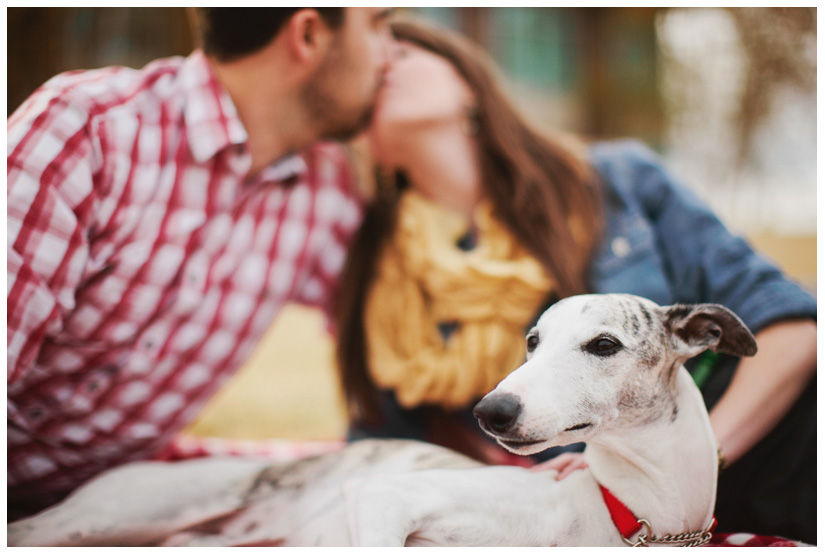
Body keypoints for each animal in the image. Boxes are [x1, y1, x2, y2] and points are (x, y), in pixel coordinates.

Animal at [6, 296, 756, 548]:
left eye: (603, 344)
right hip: (107, 517)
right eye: (532, 341)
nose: (489, 410)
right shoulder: (386, 493)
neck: (625, 510)